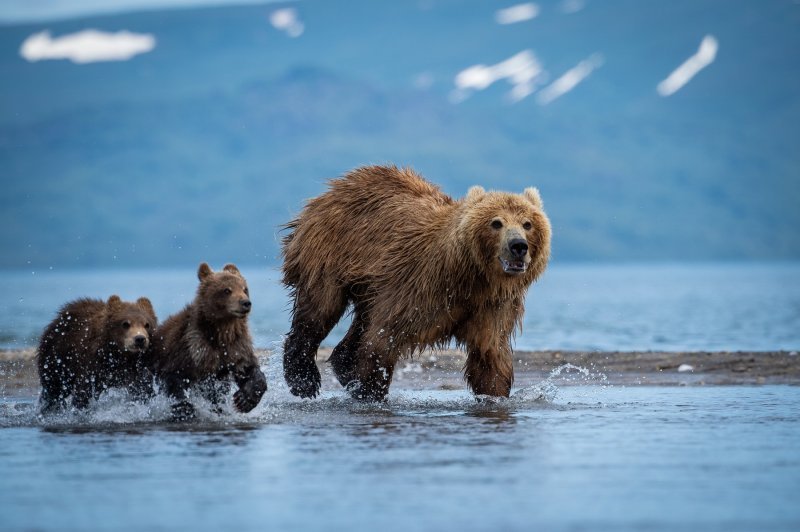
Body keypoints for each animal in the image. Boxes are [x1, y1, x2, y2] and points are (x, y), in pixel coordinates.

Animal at [152, 262, 270, 420]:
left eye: (245, 289)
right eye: (227, 290)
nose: (245, 303)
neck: (220, 333)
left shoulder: (236, 347)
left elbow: (248, 369)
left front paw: (244, 400)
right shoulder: (190, 346)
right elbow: (175, 377)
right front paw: (186, 409)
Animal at [282, 165, 552, 400]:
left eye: (527, 223)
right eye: (496, 222)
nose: (518, 246)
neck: (470, 277)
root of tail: (333, 189)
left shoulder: (492, 304)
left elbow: (490, 354)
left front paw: (494, 395)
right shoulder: (418, 288)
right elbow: (382, 339)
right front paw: (370, 392)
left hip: (368, 284)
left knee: (361, 320)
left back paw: (343, 367)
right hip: (330, 253)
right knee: (318, 310)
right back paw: (304, 380)